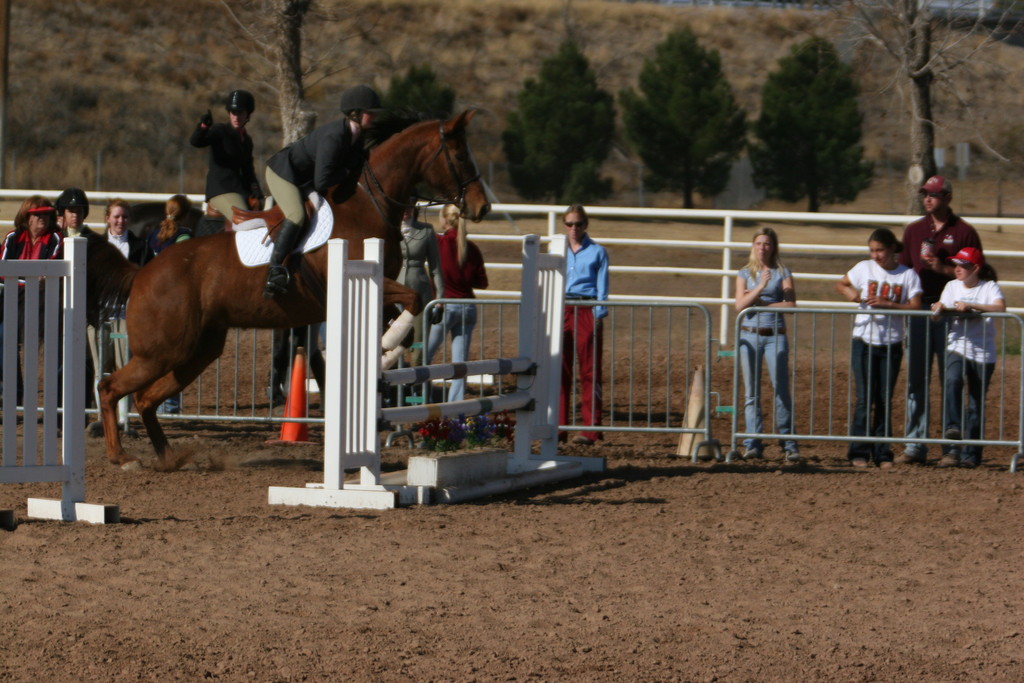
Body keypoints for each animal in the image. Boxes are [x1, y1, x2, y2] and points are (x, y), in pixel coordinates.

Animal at [86, 109, 489, 473]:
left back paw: (169, 458)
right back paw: (122, 458)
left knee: (145, 399)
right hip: (164, 350)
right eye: (459, 156)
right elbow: (413, 299)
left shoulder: (377, 289)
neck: (372, 203)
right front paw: (386, 350)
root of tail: (142, 273)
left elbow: (407, 312)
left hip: (197, 351)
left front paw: (386, 356)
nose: (482, 207)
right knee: (111, 388)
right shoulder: (358, 282)